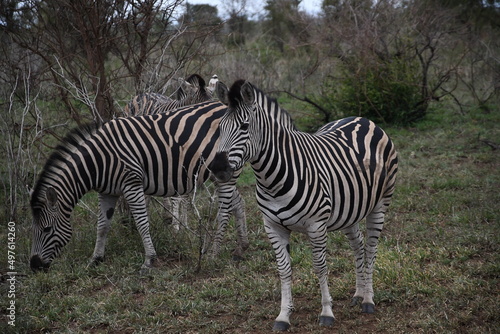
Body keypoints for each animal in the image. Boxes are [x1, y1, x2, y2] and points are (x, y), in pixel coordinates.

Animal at [211, 79, 398, 330]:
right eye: (220, 128)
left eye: (244, 126)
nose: (218, 168)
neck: (273, 179)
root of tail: (363, 119)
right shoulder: (272, 226)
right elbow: (283, 269)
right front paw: (283, 315)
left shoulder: (316, 225)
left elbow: (320, 266)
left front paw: (327, 312)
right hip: (349, 209)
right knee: (358, 245)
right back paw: (358, 294)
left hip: (380, 203)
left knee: (371, 247)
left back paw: (368, 300)